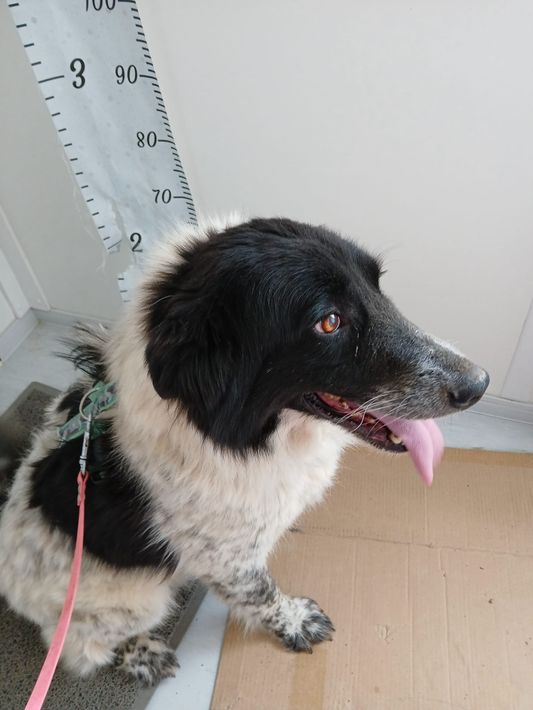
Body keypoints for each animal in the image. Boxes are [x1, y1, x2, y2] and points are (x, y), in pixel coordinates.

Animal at [0, 216, 489, 685]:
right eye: (329, 322)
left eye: (378, 286)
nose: (479, 384)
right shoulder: (226, 560)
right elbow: (263, 594)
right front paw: (295, 622)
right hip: (133, 602)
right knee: (78, 645)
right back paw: (140, 654)